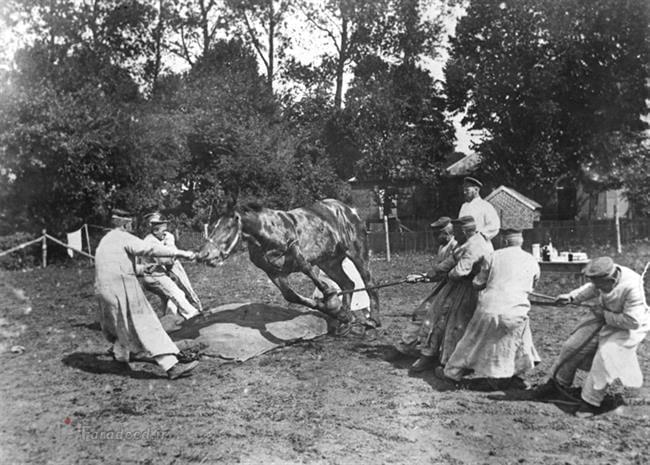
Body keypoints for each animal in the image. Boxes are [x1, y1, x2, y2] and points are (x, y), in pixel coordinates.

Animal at [197, 198, 380, 332]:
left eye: (228, 226)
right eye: (212, 226)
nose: (203, 254)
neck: (266, 233)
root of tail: (349, 210)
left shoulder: (294, 248)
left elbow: (307, 269)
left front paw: (331, 299)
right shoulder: (274, 273)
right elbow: (290, 296)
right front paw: (336, 312)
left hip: (357, 253)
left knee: (369, 282)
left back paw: (373, 320)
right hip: (329, 262)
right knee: (348, 283)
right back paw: (345, 319)